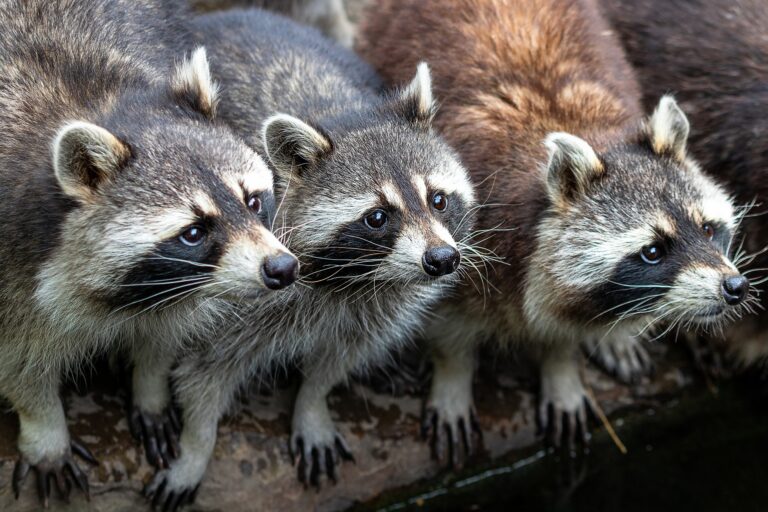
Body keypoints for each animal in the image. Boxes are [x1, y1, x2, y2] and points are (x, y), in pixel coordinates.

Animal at [0, 0, 297, 505]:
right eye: (194, 232)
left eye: (253, 201)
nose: (282, 268)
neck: (98, 102)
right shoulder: (10, 255)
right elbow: (18, 358)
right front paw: (45, 429)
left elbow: (164, 330)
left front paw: (150, 383)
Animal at [139, 9, 474, 507]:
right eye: (378, 217)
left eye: (438, 199)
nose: (441, 259)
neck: (352, 280)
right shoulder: (228, 298)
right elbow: (202, 374)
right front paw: (196, 448)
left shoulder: (373, 306)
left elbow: (336, 360)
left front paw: (312, 404)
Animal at [357, 0, 751, 464]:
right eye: (653, 251)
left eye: (708, 229)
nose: (734, 287)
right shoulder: (455, 240)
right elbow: (447, 321)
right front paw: (451, 376)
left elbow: (564, 327)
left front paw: (562, 365)